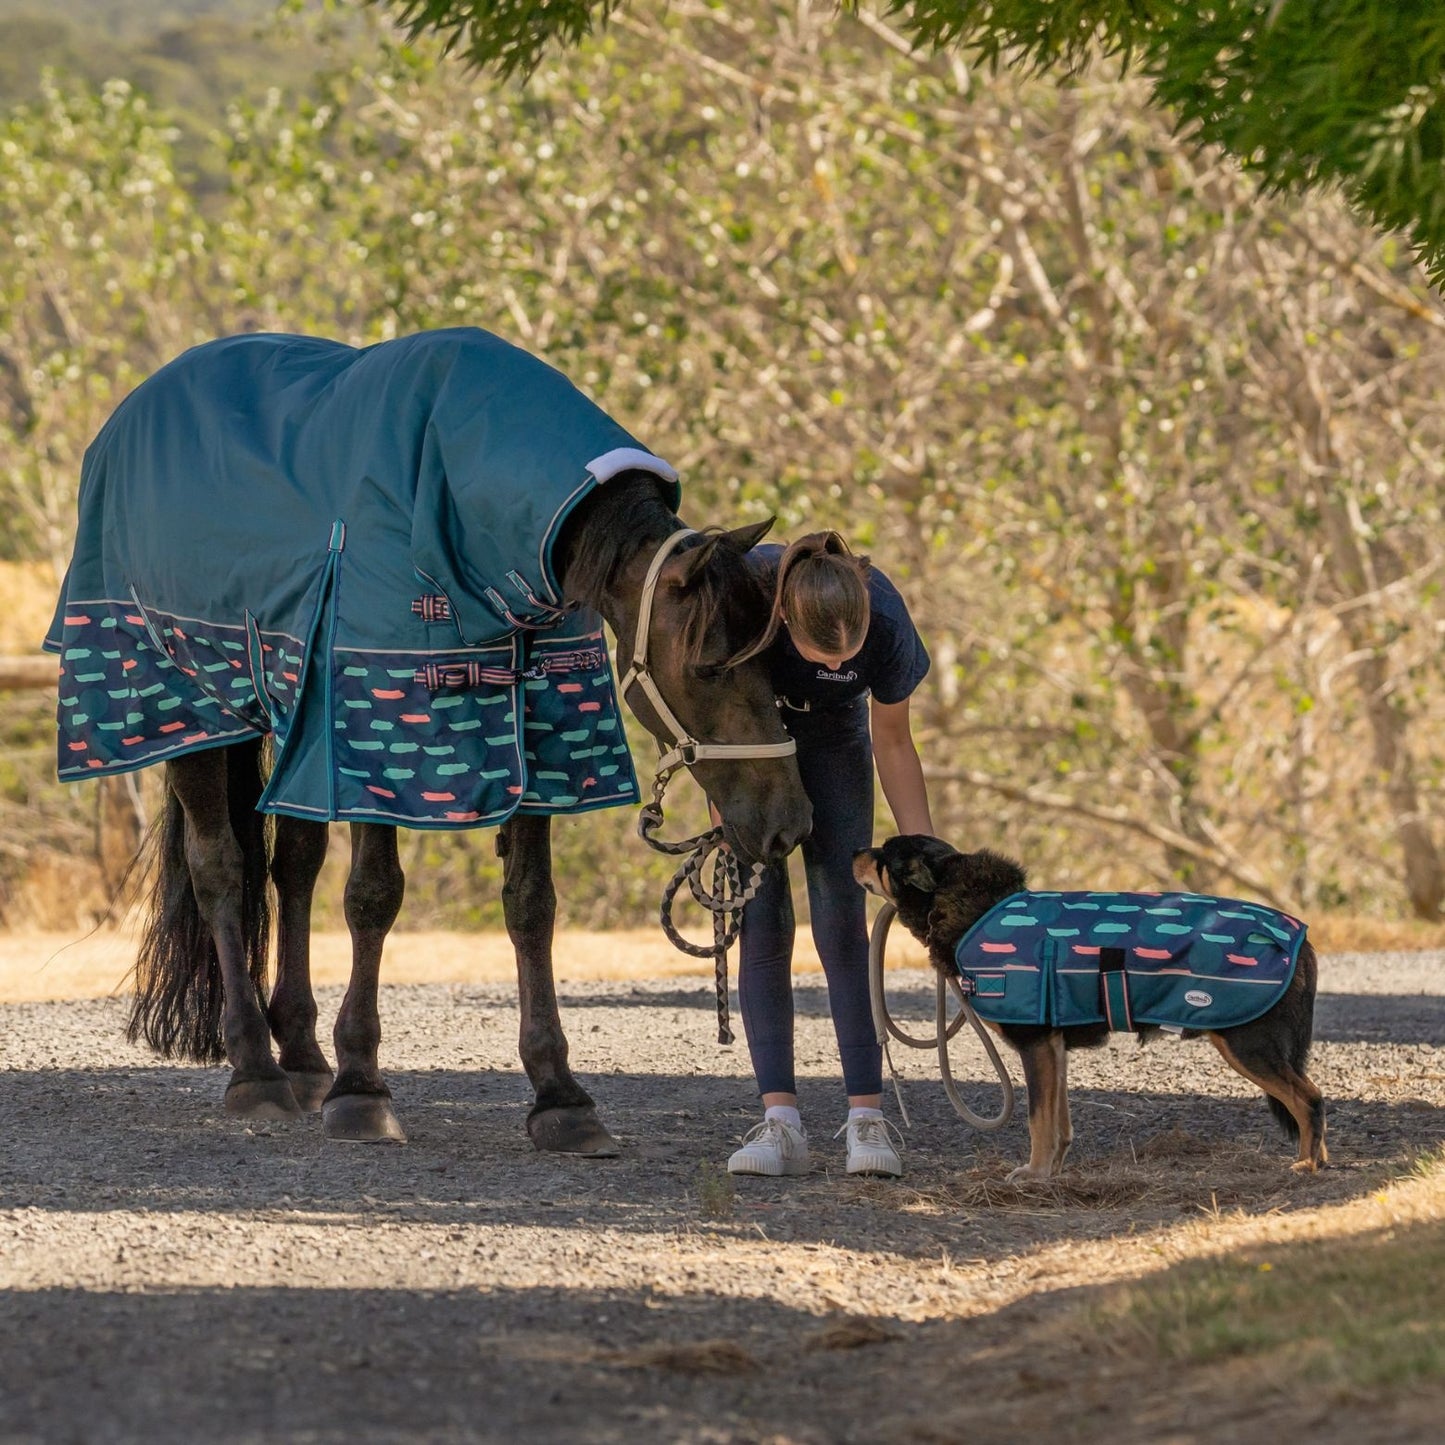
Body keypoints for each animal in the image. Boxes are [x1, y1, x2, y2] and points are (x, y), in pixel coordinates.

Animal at [46, 328, 811, 1154]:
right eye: (706, 666)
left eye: (774, 656)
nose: (789, 823)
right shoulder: (372, 731)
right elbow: (373, 896)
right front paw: (361, 1087)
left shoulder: (534, 732)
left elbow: (530, 904)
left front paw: (561, 1096)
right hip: (191, 705)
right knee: (219, 866)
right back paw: (256, 1069)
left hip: (288, 723)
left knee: (293, 867)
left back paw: (301, 1053)